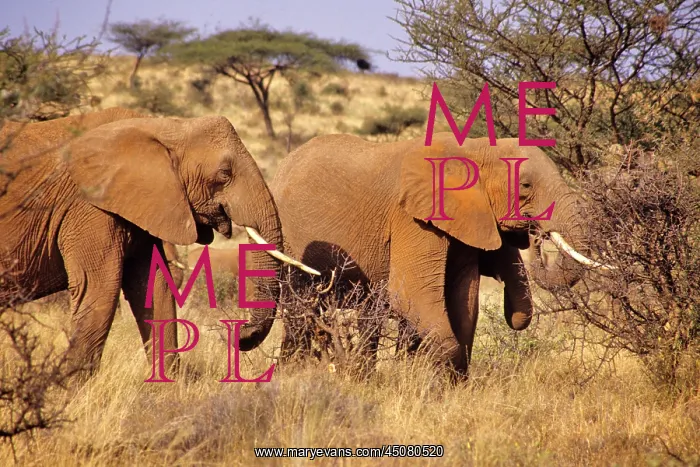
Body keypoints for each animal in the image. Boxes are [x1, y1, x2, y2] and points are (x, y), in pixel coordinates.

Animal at [0, 107, 317, 376]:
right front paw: (70, 392)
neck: (165, 126)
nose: (237, 334)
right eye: (225, 174)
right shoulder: (89, 207)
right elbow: (99, 290)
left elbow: (155, 287)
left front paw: (166, 386)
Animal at [236, 132, 611, 375]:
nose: (534, 237)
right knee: (300, 309)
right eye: (526, 187)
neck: (471, 147)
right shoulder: (411, 219)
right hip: (290, 242)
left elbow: (465, 300)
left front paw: (447, 384)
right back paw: (297, 373)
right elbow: (411, 294)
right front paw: (429, 380)